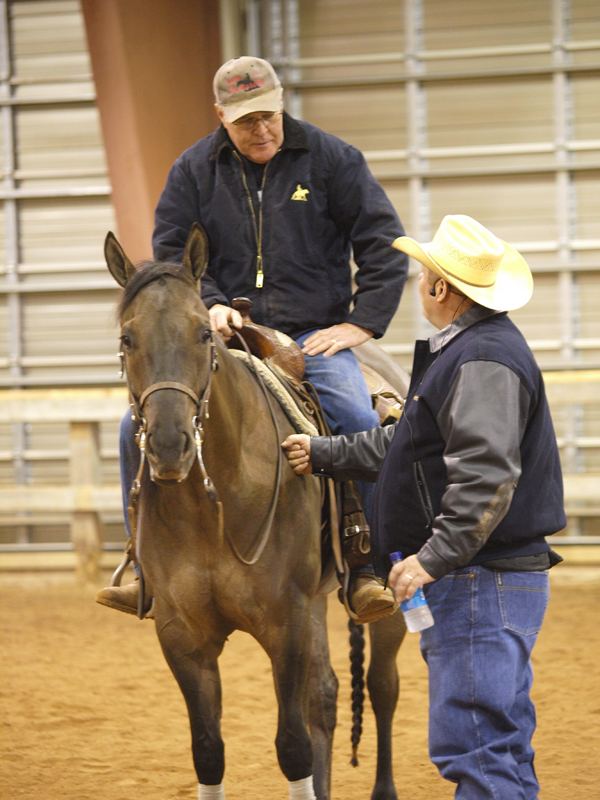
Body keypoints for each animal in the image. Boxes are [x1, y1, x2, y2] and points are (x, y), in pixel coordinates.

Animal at [104, 223, 406, 800]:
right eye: (128, 339)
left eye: (203, 333)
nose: (170, 445)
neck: (214, 508)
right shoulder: (182, 634)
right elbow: (208, 751)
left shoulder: (284, 622)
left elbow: (292, 747)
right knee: (326, 696)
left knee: (381, 686)